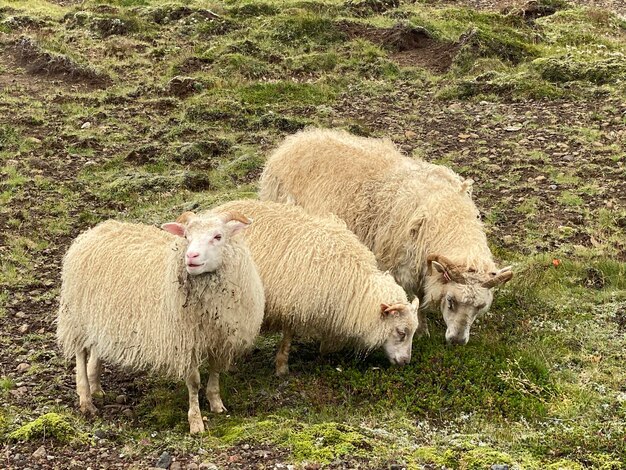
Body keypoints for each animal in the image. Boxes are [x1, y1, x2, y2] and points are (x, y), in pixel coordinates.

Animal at [56, 209, 264, 434]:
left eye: (218, 236)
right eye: (186, 237)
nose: (191, 256)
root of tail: (94, 230)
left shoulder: (221, 339)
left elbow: (215, 372)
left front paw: (216, 403)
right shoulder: (184, 343)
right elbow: (194, 382)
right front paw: (196, 422)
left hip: (100, 319)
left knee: (96, 350)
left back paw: (96, 389)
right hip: (76, 318)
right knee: (80, 355)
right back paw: (86, 400)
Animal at [210, 200, 420, 376]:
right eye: (401, 332)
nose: (405, 362)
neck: (354, 281)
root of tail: (218, 209)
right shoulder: (294, 299)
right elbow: (288, 335)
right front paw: (281, 367)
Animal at [258, 129, 512, 346]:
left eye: (480, 307)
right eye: (451, 301)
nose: (457, 341)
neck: (448, 215)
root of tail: (293, 141)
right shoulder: (402, 266)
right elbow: (414, 299)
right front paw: (421, 328)